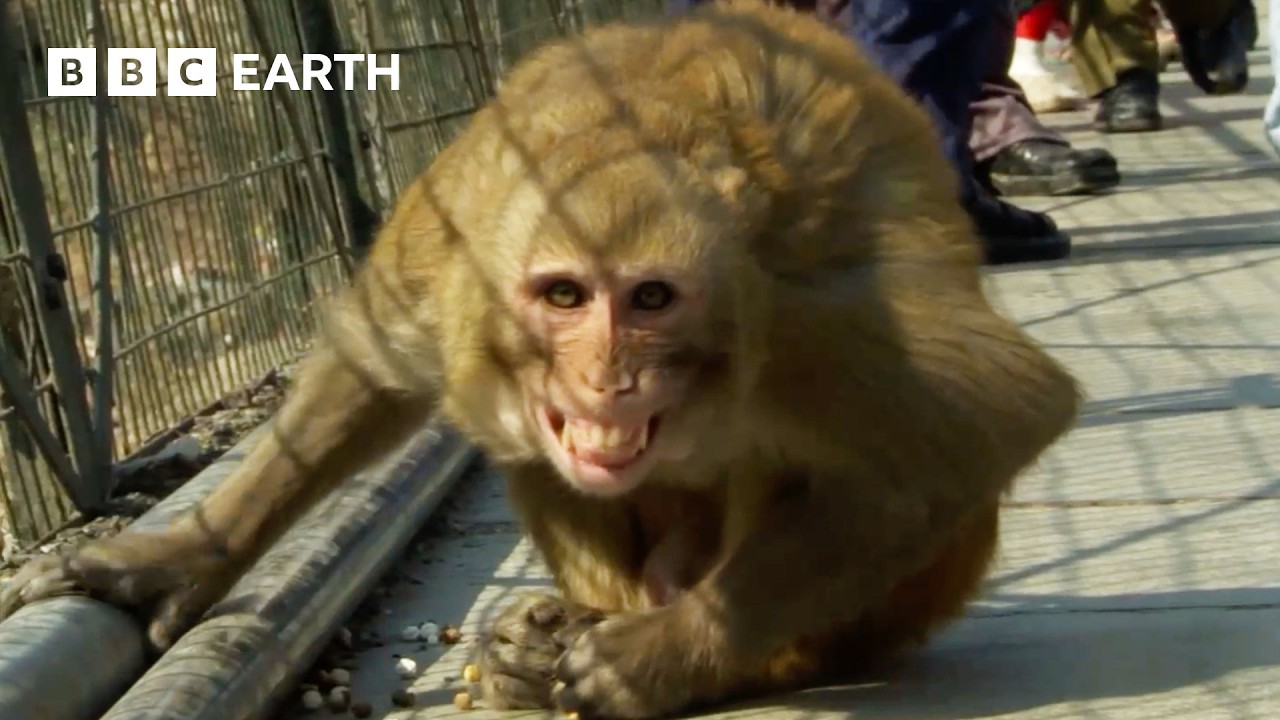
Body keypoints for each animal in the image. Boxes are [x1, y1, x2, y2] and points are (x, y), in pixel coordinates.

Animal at [0, 1, 1081, 718]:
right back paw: (549, 647)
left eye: (650, 299)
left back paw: (716, 660)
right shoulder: (453, 247)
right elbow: (376, 370)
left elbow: (995, 415)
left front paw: (673, 656)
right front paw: (185, 555)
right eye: (563, 296)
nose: (605, 377)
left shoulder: (805, 317)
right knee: (528, 453)